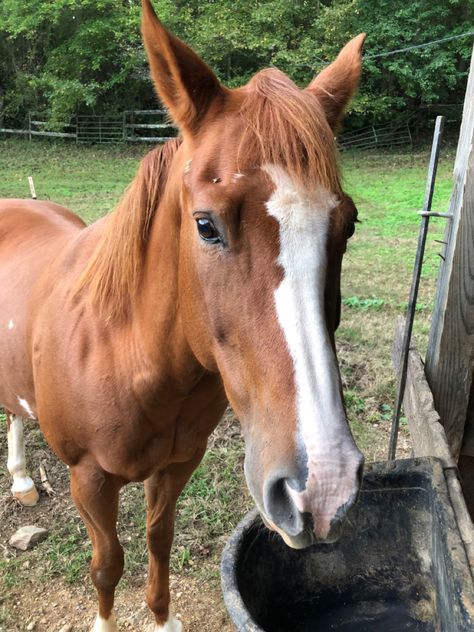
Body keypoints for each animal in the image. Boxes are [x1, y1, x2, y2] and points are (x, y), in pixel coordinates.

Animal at [0, 2, 364, 628]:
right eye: (205, 225)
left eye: (349, 225)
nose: (323, 487)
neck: (126, 352)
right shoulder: (89, 480)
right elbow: (107, 565)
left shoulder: (177, 465)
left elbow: (158, 544)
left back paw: (22, 476)